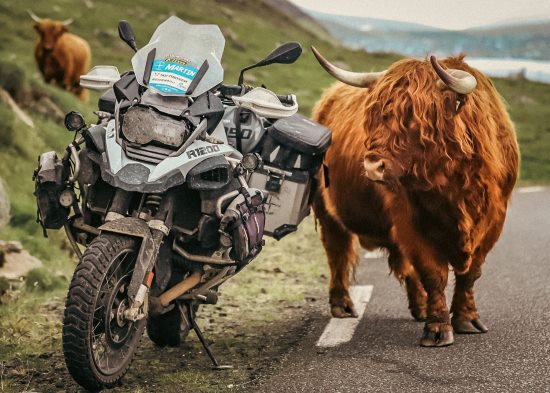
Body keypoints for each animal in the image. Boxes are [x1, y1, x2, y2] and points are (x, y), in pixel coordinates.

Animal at [310, 48, 520, 346]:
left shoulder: (493, 220)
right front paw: (438, 329)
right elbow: (433, 273)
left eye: (413, 115)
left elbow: (471, 273)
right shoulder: (411, 223)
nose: (372, 166)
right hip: (326, 210)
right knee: (337, 252)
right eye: (373, 114)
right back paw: (342, 305)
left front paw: (466, 319)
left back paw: (420, 307)